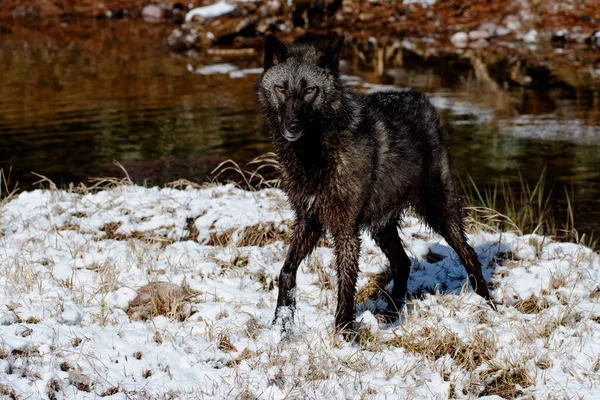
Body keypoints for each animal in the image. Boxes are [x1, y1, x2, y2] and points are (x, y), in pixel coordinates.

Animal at [255, 36, 490, 332]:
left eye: (309, 90)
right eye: (281, 88)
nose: (293, 126)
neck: (315, 155)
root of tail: (421, 98)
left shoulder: (346, 230)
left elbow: (345, 286)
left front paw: (343, 333)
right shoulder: (308, 219)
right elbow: (286, 271)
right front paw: (281, 324)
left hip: (439, 211)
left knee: (468, 253)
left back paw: (488, 306)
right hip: (382, 225)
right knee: (402, 262)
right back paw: (391, 316)